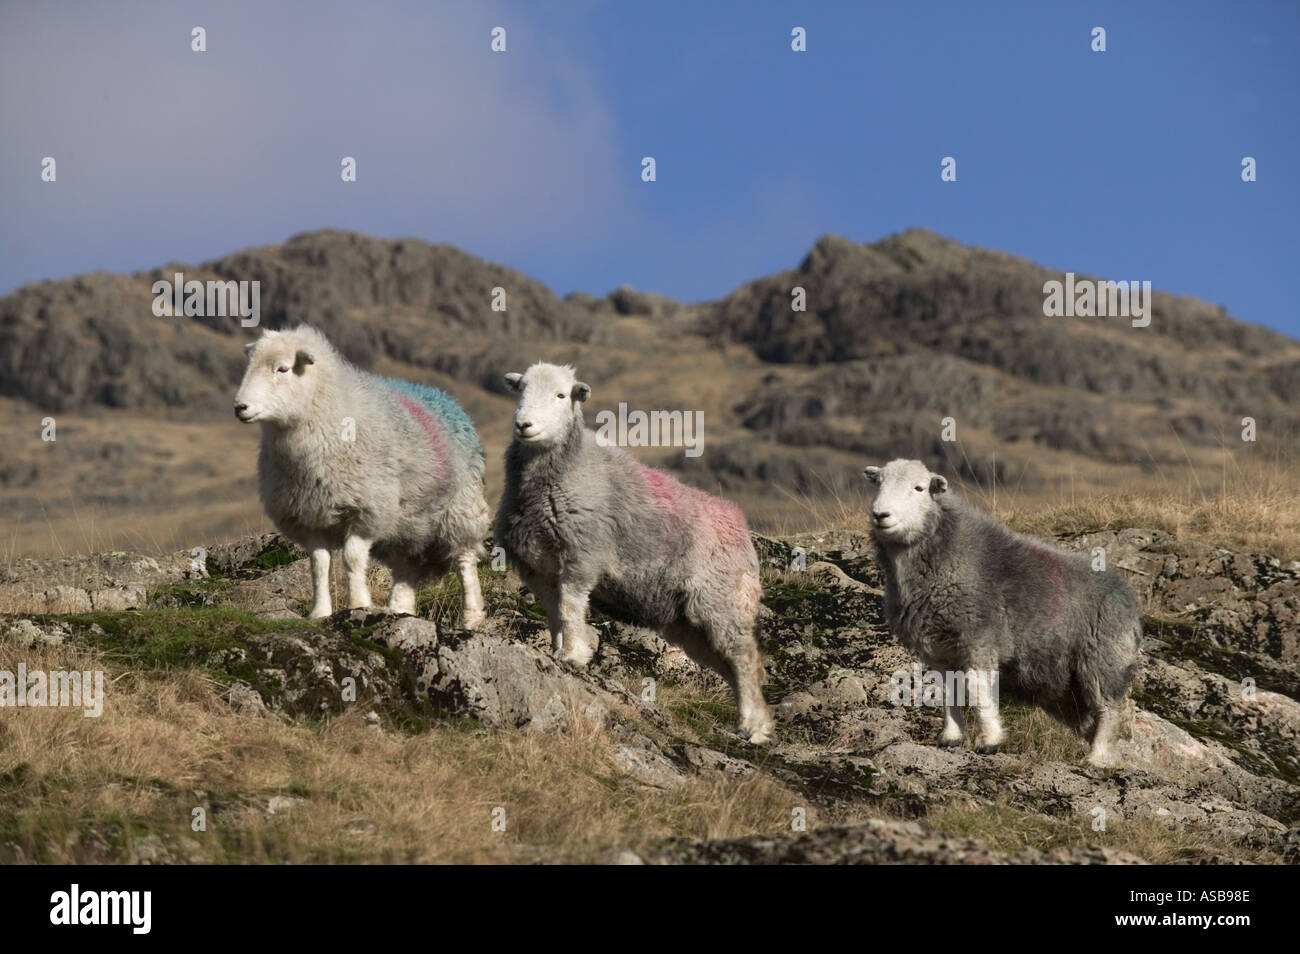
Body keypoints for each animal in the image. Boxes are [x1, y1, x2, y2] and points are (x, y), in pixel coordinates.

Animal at [236, 328, 488, 629]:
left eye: (282, 369)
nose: (240, 407)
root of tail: (443, 396)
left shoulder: (366, 511)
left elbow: (352, 559)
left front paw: (358, 605)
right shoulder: (309, 517)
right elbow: (319, 565)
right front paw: (319, 612)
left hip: (461, 508)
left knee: (465, 560)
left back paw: (472, 618)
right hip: (407, 526)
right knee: (405, 569)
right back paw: (399, 610)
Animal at [488, 361, 769, 743]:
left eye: (561, 395)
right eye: (520, 390)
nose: (524, 425)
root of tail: (739, 524)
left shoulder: (581, 555)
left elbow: (570, 608)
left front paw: (573, 655)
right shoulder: (539, 567)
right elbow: (555, 612)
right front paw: (559, 650)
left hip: (723, 601)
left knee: (746, 661)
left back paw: (755, 728)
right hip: (690, 622)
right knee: (729, 664)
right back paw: (747, 722)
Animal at [863, 457, 1138, 769]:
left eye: (919, 488)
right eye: (878, 483)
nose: (880, 515)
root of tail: (1124, 591)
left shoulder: (979, 637)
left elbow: (977, 688)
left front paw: (989, 740)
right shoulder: (937, 648)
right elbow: (947, 691)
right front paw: (951, 737)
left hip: (1102, 656)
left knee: (1111, 707)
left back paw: (1098, 758)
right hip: (1068, 685)